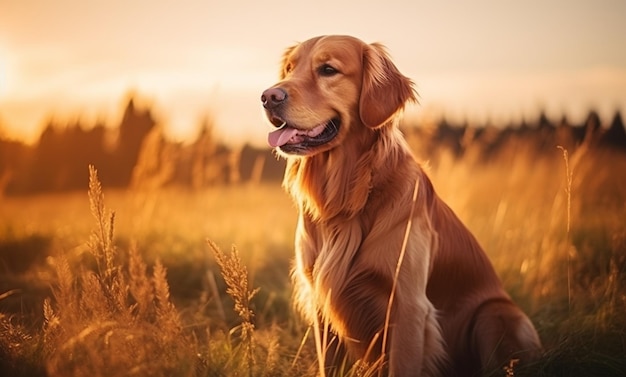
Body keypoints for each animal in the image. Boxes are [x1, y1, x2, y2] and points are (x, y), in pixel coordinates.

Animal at [260, 34, 540, 374]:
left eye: (328, 70)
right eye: (289, 68)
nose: (268, 96)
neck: (347, 196)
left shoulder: (408, 306)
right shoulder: (321, 303)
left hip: (495, 314)